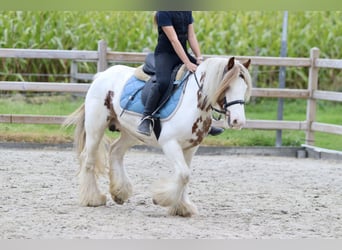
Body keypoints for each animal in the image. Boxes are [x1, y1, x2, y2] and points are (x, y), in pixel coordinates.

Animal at [64, 55, 251, 216]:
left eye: (244, 89)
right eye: (226, 87)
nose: (238, 121)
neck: (193, 102)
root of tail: (102, 75)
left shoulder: (190, 148)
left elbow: (185, 175)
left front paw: (181, 207)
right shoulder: (170, 144)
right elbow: (183, 175)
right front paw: (161, 199)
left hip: (131, 133)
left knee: (115, 151)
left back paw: (119, 193)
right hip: (96, 127)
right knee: (89, 159)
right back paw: (93, 199)